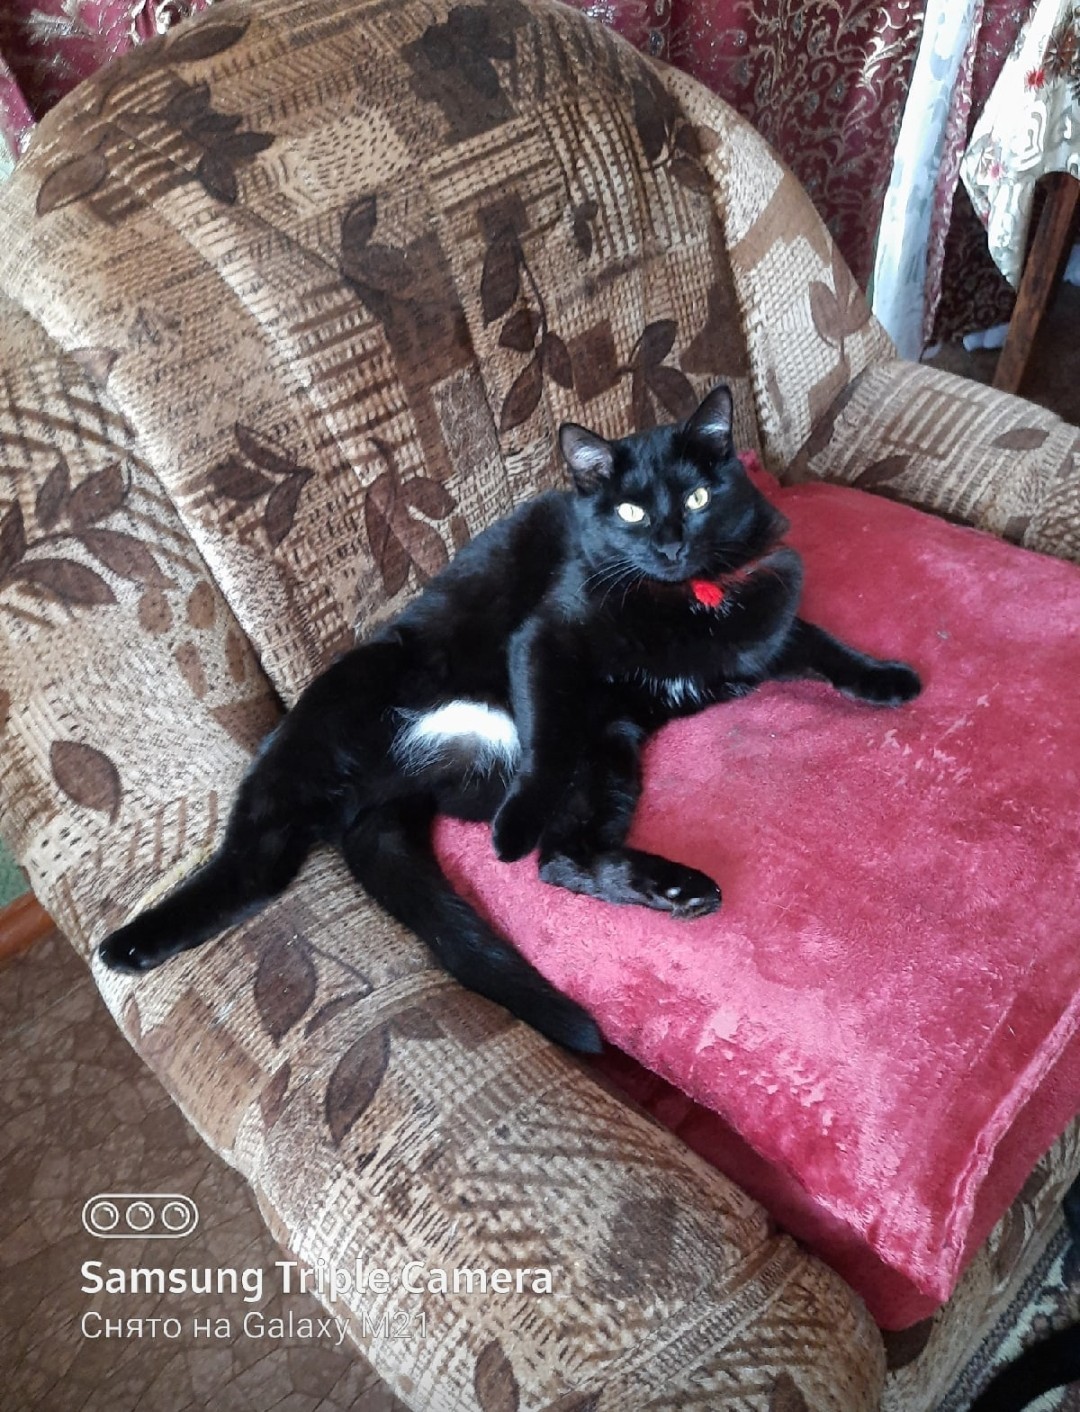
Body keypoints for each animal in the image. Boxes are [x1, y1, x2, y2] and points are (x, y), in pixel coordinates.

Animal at [98, 384, 921, 1053]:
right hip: (328, 723)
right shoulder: (546, 639)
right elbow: (544, 745)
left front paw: (884, 677)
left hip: (610, 752)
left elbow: (816, 640)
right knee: (258, 862)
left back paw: (678, 889)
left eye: (695, 500)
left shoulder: (759, 619)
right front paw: (512, 829)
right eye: (629, 511)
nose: (669, 545)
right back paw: (132, 945)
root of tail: (381, 797)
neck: (685, 600)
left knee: (563, 858)